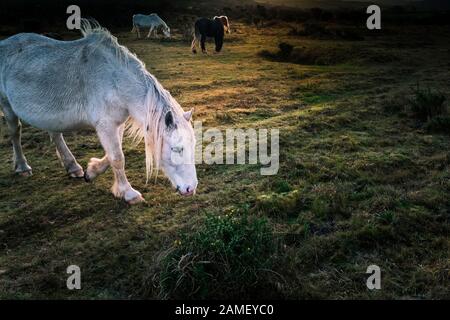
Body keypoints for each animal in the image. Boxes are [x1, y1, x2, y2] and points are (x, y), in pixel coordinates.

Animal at [0, 20, 197, 204]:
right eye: (176, 149)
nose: (191, 188)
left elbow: (112, 155)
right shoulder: (105, 125)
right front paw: (128, 193)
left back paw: (73, 167)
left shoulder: (116, 124)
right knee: (15, 132)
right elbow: (117, 158)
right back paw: (23, 167)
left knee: (55, 134)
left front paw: (92, 171)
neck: (115, 80)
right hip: (7, 106)